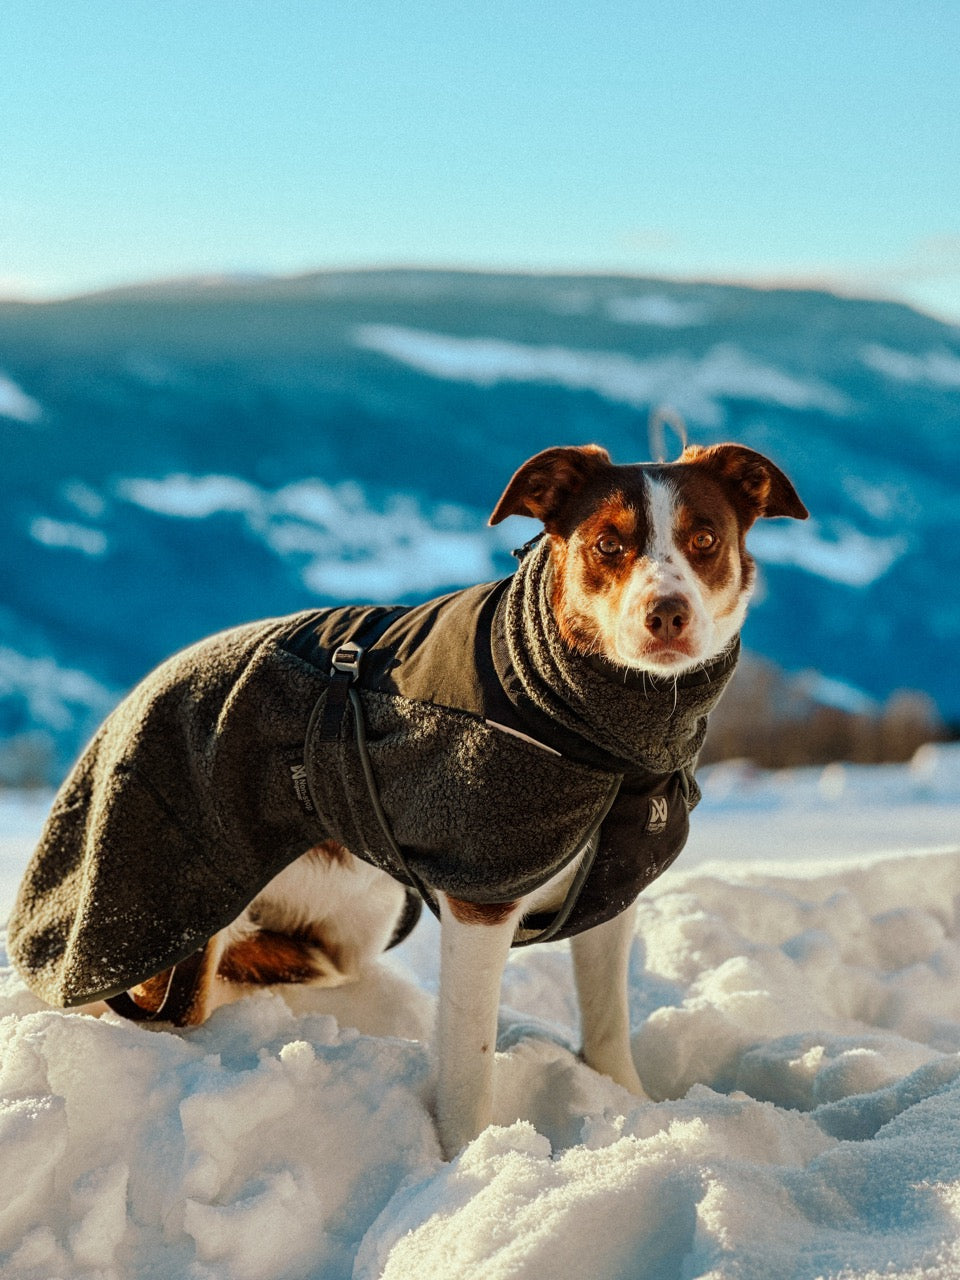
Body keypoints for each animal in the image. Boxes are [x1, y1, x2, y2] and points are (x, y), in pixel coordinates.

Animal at [9, 442, 803, 1162]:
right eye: (608, 543)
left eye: (705, 539)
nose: (666, 613)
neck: (596, 733)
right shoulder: (481, 903)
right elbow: (468, 1073)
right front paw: (468, 1171)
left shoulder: (611, 894)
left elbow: (607, 1028)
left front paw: (631, 1108)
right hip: (180, 903)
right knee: (181, 1005)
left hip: (364, 908)